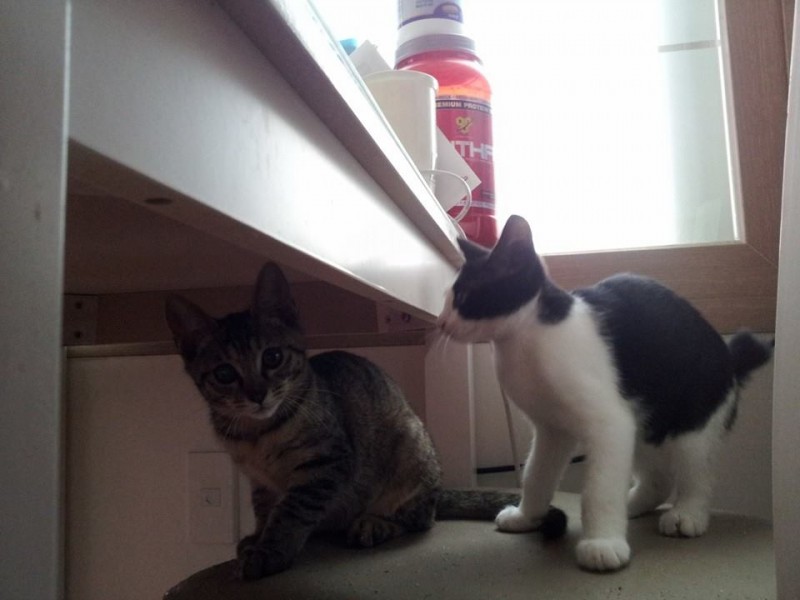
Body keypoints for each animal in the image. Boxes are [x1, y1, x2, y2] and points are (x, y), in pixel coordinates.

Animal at [165, 262, 566, 580]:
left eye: (273, 357)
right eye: (224, 374)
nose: (257, 394)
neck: (258, 435)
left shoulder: (327, 462)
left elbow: (292, 510)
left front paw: (271, 550)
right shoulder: (259, 480)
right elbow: (267, 509)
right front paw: (259, 536)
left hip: (409, 450)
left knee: (421, 517)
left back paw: (375, 523)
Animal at [437, 215, 772, 572]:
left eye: (464, 296)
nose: (441, 322)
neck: (526, 337)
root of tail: (730, 357)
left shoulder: (609, 422)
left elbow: (599, 489)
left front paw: (603, 543)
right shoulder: (552, 429)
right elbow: (536, 474)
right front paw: (526, 517)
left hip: (692, 421)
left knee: (698, 472)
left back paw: (687, 514)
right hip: (642, 427)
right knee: (658, 479)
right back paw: (633, 504)